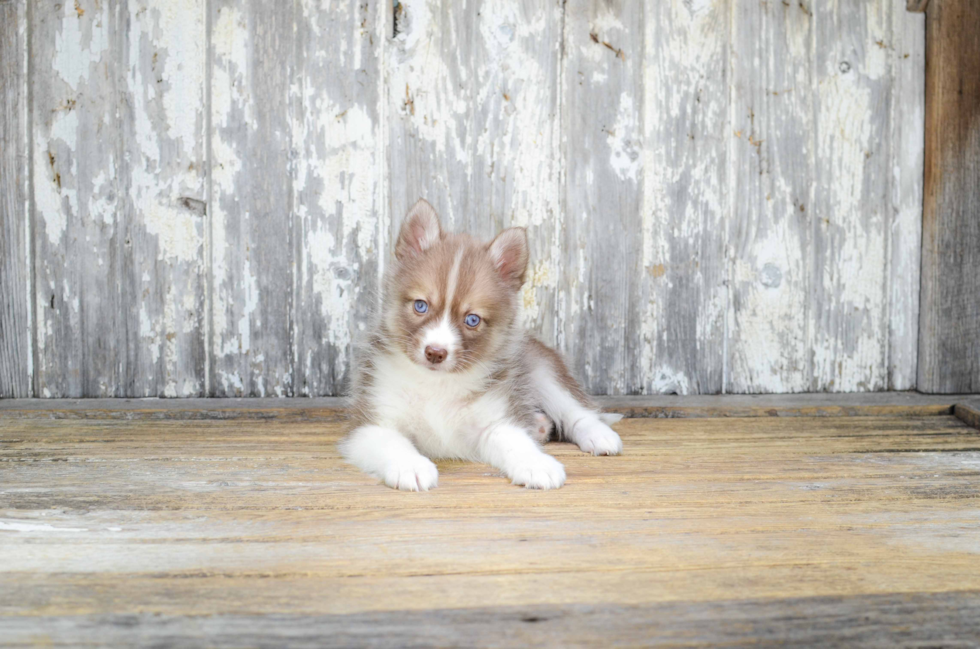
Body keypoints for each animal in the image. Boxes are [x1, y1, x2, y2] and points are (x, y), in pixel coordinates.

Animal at [340, 197, 624, 492]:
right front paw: (411, 466)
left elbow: (517, 442)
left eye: (472, 319)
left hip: (543, 371)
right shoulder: (372, 424)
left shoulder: (495, 422)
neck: (437, 385)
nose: (435, 353)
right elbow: (392, 443)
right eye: (420, 305)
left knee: (576, 410)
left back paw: (598, 434)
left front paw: (537, 464)